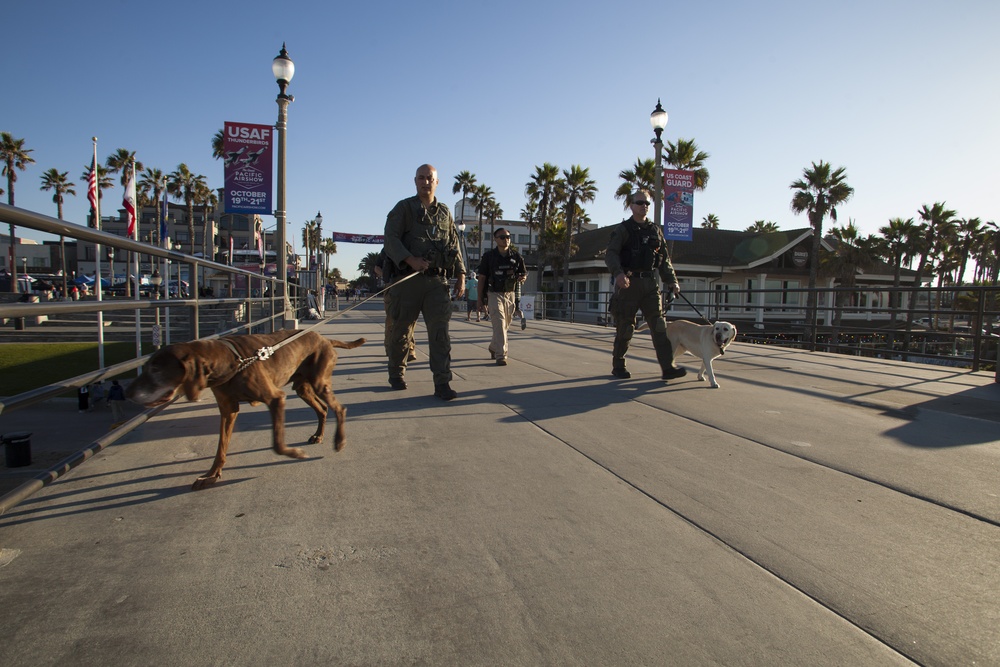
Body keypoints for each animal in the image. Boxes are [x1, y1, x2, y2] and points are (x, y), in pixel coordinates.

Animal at [127, 330, 366, 490]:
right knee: (323, 409)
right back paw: (319, 435)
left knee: (340, 408)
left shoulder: (275, 399)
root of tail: (325, 338)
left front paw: (295, 453)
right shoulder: (228, 409)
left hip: (318, 382)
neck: (230, 360)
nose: (127, 392)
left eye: (156, 369)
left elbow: (277, 444)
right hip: (303, 387)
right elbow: (221, 448)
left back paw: (339, 441)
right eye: (147, 366)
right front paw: (211, 475)